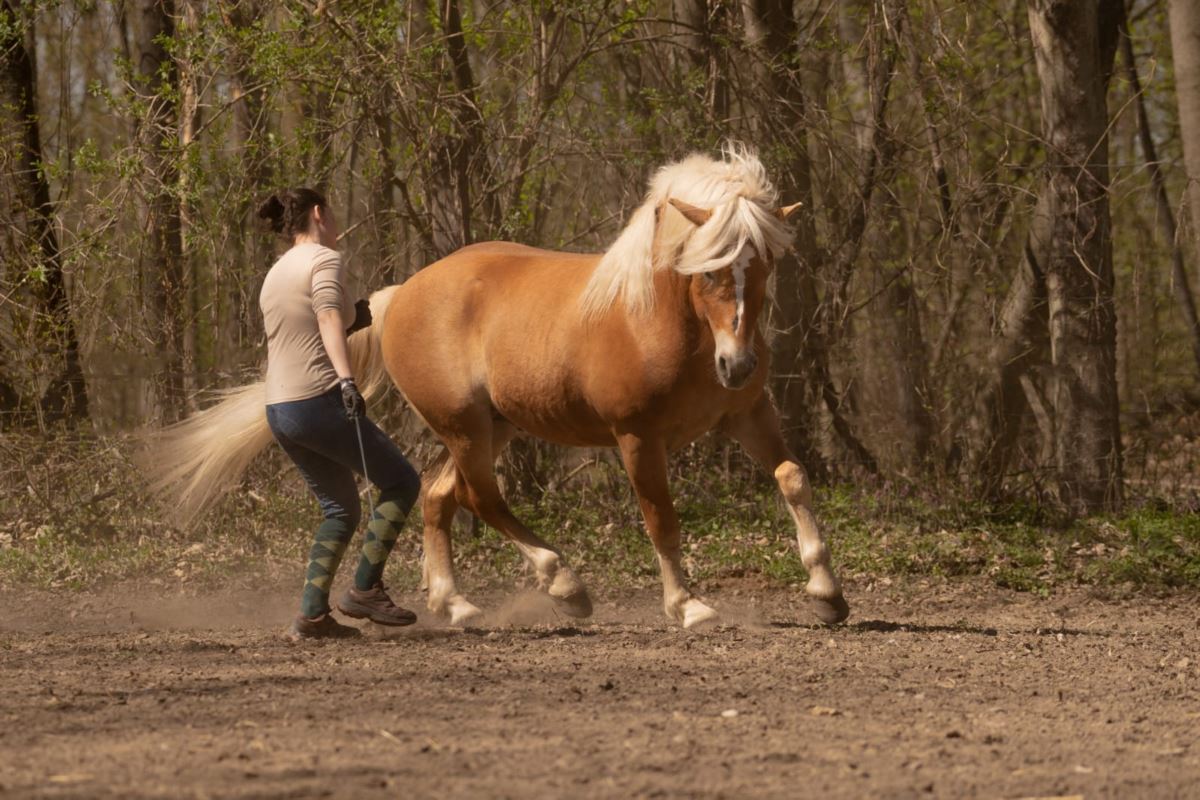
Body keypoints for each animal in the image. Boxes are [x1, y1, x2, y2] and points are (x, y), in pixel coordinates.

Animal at [147, 146, 844, 628]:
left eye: (765, 263)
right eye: (710, 268)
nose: (738, 365)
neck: (659, 322)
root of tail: (401, 294)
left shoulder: (749, 415)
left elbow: (792, 477)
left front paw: (827, 593)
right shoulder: (636, 438)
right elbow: (661, 518)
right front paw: (689, 605)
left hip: (491, 427)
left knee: (436, 497)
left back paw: (455, 605)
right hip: (464, 427)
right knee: (480, 498)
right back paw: (564, 585)